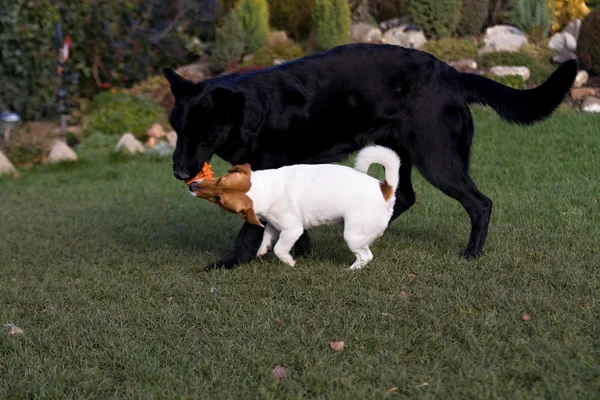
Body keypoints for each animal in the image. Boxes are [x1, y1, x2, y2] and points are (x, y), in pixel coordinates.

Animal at [190, 145, 400, 270]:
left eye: (219, 199)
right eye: (219, 180)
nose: (191, 186)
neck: (264, 189)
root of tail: (385, 189)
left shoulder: (292, 230)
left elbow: (280, 249)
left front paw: (290, 262)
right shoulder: (274, 224)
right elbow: (267, 236)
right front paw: (262, 250)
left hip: (352, 235)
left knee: (366, 255)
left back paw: (352, 269)